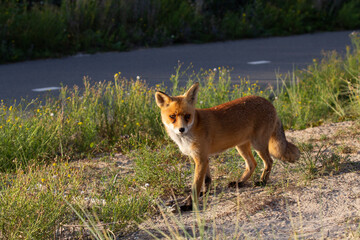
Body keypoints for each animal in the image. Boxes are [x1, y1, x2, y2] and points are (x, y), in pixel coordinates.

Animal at [156, 83, 300, 211]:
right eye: (172, 117)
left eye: (187, 116)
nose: (181, 129)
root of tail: (269, 103)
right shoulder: (202, 158)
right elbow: (207, 180)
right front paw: (205, 193)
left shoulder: (201, 159)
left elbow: (195, 186)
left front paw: (188, 206)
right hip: (241, 146)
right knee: (252, 164)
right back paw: (240, 183)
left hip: (258, 145)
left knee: (269, 161)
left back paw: (262, 182)